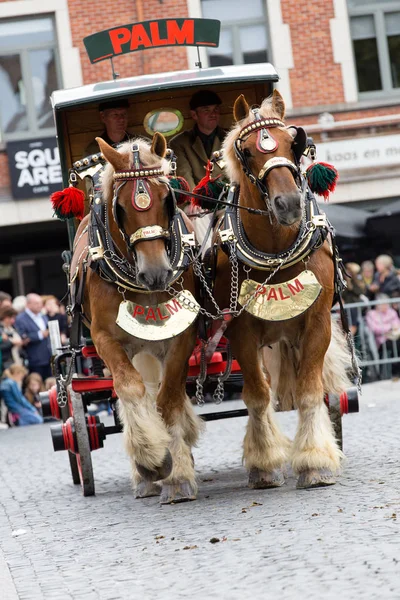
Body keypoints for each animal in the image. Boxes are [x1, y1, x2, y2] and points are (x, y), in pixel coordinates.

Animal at [72, 134, 202, 504]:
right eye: (121, 207)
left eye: (167, 197)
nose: (156, 272)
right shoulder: (105, 339)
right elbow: (130, 389)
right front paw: (153, 461)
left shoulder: (182, 336)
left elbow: (168, 398)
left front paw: (178, 476)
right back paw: (144, 475)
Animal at [214, 91, 352, 490]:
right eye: (246, 151)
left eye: (294, 143)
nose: (288, 203)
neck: (276, 252)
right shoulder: (241, 332)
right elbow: (258, 396)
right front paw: (263, 463)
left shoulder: (317, 324)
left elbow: (309, 390)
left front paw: (315, 461)